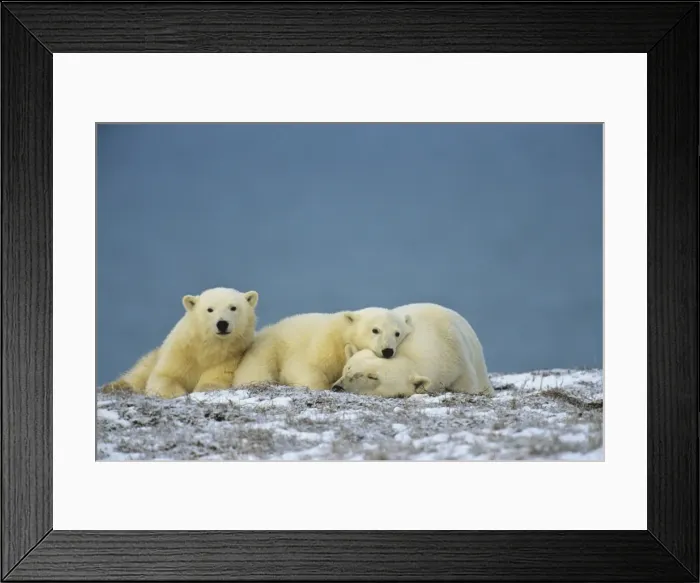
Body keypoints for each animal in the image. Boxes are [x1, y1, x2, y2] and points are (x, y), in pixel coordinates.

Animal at [101, 287, 259, 399]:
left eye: (233, 307)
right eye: (210, 309)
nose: (222, 324)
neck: (206, 348)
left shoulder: (228, 358)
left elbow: (214, 379)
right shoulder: (181, 352)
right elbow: (165, 376)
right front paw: (176, 393)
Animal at [232, 307, 413, 391]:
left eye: (397, 333)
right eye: (375, 330)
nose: (387, 350)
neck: (342, 334)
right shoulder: (322, 344)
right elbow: (303, 368)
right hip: (267, 350)